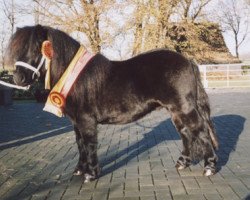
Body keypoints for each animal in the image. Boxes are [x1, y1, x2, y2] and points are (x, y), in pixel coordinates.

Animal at [4, 24, 218, 181]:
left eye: (34, 48)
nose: (18, 79)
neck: (75, 76)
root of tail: (187, 61)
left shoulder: (86, 120)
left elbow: (89, 144)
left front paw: (91, 174)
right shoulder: (76, 121)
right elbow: (80, 144)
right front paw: (79, 170)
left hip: (184, 108)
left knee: (201, 130)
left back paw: (209, 167)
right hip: (175, 111)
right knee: (186, 134)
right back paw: (182, 163)